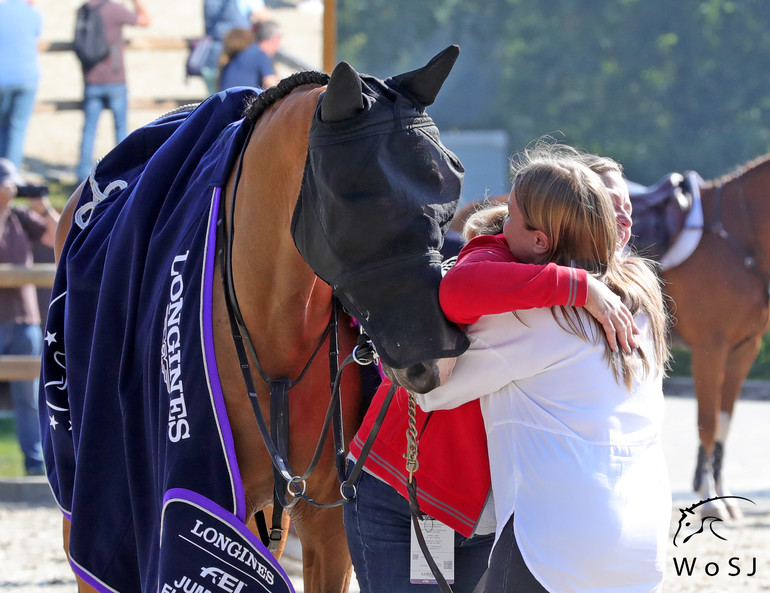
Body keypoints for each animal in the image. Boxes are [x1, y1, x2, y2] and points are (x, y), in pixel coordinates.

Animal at [42, 46, 464, 592]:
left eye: (449, 186)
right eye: (356, 198)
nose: (433, 358)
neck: (277, 325)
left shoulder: (327, 523)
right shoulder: (213, 506)